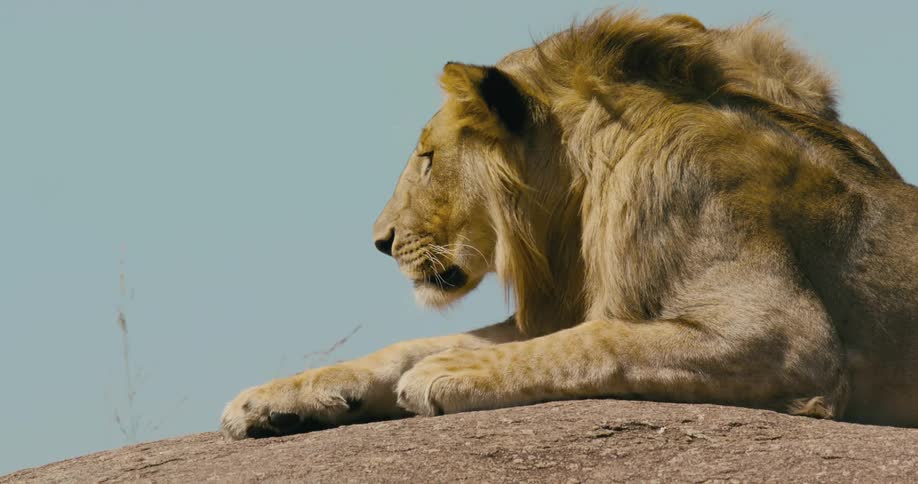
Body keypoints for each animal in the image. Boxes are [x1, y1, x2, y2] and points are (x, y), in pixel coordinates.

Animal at [221, 11, 918, 439]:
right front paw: (276, 398)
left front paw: (452, 373)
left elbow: (599, 342)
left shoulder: (786, 338)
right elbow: (407, 347)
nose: (380, 240)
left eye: (427, 157)